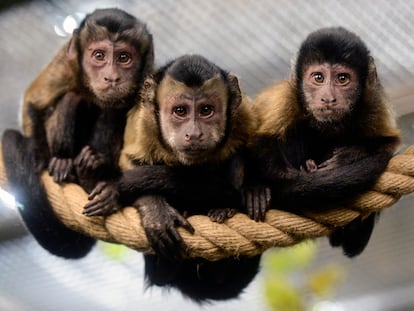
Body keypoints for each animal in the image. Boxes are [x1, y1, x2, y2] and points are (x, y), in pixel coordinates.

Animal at [1, 8, 154, 260]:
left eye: (124, 58)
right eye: (99, 55)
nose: (111, 77)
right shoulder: (66, 63)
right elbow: (34, 101)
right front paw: (39, 156)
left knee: (113, 108)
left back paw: (92, 171)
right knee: (72, 99)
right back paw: (63, 163)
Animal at [85, 54, 260, 304]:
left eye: (206, 110)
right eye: (180, 111)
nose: (194, 133)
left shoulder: (243, 113)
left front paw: (256, 190)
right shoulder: (144, 122)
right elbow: (132, 161)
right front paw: (155, 211)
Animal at [243, 26, 402, 258]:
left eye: (343, 78)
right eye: (318, 77)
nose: (328, 98)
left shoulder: (373, 103)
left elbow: (388, 143)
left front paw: (346, 158)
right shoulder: (285, 97)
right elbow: (259, 142)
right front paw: (262, 187)